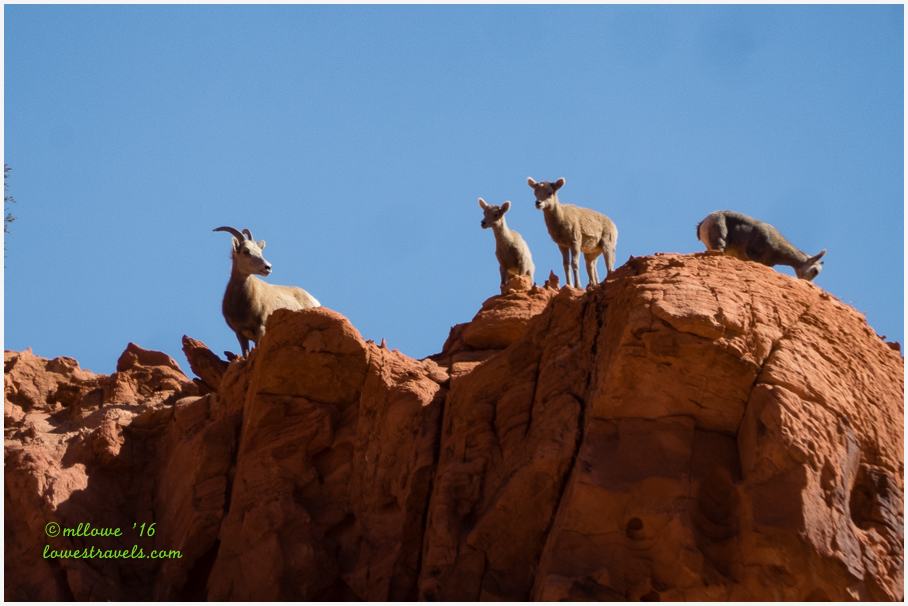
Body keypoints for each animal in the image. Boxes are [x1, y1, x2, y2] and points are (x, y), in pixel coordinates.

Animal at [213, 226, 320, 356]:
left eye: (260, 252)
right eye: (246, 251)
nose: (268, 267)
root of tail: (315, 301)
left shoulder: (260, 329)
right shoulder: (240, 333)